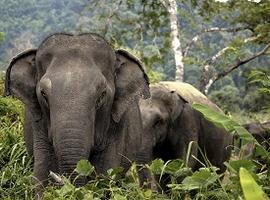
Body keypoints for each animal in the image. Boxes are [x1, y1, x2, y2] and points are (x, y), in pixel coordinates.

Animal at [4, 32, 151, 194]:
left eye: (102, 95)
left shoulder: (118, 124)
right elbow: (42, 172)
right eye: (43, 94)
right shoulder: (39, 123)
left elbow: (106, 173)